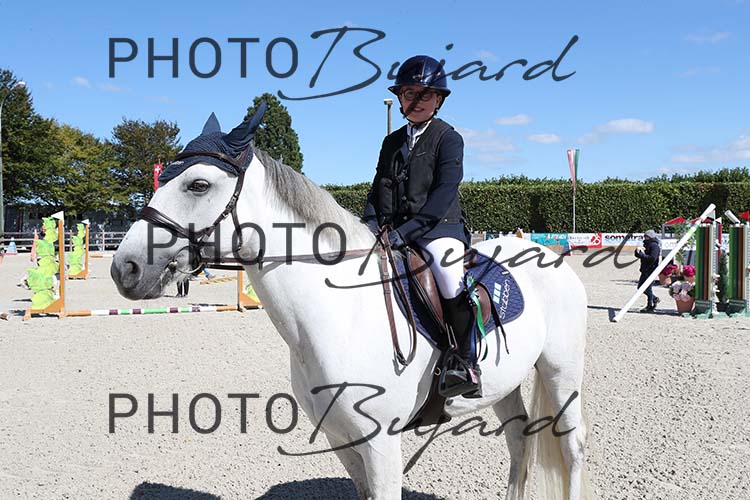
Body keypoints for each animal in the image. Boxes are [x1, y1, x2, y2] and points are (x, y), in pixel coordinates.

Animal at [111, 109, 593, 500]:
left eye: (198, 184)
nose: (124, 268)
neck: (338, 315)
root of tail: (547, 255)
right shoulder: (343, 438)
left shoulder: (381, 443)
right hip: (504, 382)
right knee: (520, 441)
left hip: (561, 371)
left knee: (571, 446)